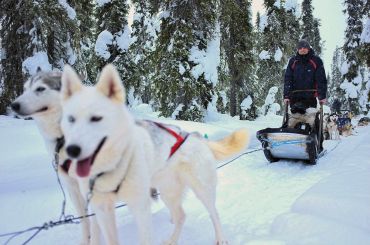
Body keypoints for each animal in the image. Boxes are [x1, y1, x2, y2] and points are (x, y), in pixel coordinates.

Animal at [10, 68, 92, 245]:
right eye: (25, 88)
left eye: (40, 88)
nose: (13, 105)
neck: (63, 138)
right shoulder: (72, 187)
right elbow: (85, 221)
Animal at [61, 64, 251, 244]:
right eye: (71, 119)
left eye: (96, 118)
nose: (72, 149)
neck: (111, 167)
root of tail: (195, 136)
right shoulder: (102, 210)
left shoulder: (141, 207)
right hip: (168, 192)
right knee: (181, 216)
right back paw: (171, 241)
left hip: (202, 190)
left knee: (214, 213)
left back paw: (221, 238)